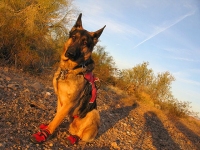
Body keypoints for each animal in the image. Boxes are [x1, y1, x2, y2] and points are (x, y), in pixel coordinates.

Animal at [30, 13, 105, 145]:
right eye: (73, 37)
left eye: (85, 43)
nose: (70, 53)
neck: (69, 70)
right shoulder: (60, 99)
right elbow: (57, 117)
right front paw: (48, 127)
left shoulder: (69, 103)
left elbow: (56, 119)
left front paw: (45, 133)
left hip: (94, 113)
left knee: (81, 136)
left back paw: (74, 138)